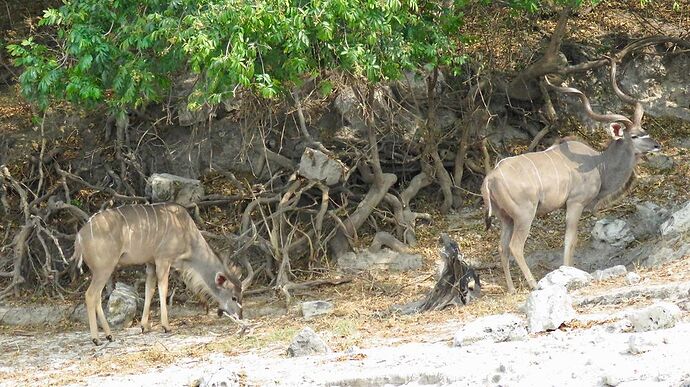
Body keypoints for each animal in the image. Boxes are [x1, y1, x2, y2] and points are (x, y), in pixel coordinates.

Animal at [72, 203, 245, 346]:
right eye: (234, 297)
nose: (240, 316)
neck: (187, 233)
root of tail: (79, 238)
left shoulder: (151, 263)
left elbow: (150, 289)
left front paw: (144, 326)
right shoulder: (163, 259)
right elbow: (163, 288)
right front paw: (166, 326)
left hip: (102, 270)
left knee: (97, 297)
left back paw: (109, 336)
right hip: (104, 269)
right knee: (90, 295)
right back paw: (96, 339)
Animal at [482, 61, 660, 292]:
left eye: (645, 130)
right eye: (635, 136)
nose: (657, 145)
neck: (599, 165)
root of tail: (490, 178)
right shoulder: (575, 203)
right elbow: (570, 240)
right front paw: (568, 273)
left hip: (506, 218)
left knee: (502, 246)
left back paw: (512, 289)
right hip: (524, 215)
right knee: (515, 246)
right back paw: (533, 283)